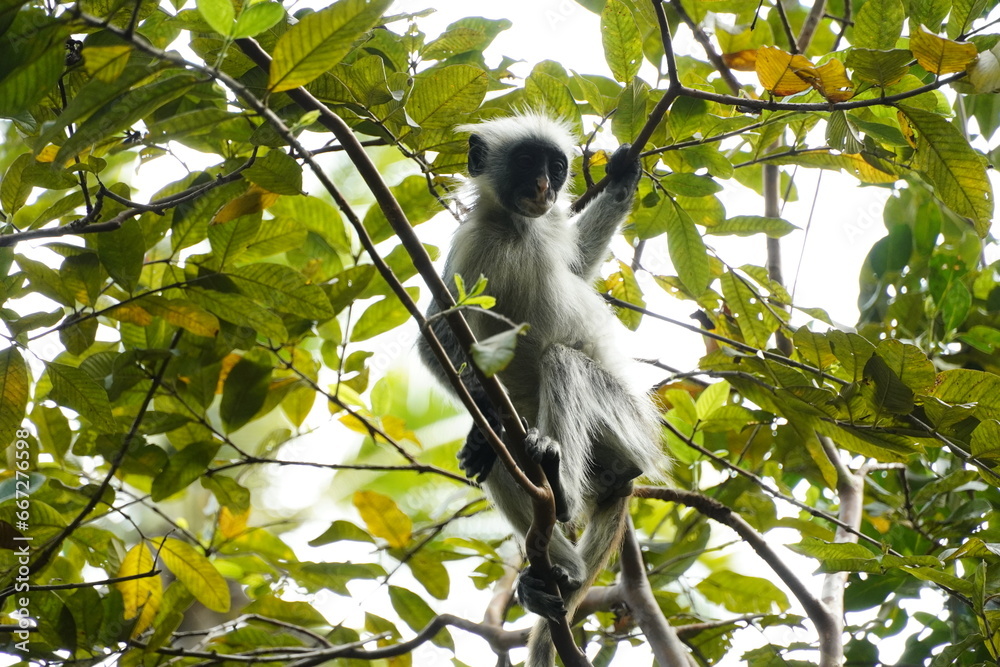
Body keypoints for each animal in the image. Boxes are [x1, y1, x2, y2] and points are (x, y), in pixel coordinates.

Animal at [417, 113, 666, 666]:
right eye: (528, 162)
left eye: (555, 167)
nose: (544, 188)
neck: (515, 229)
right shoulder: (470, 244)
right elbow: (434, 336)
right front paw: (479, 404)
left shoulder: (545, 226)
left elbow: (577, 267)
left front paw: (622, 179)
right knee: (503, 453)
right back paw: (560, 561)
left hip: (630, 427)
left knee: (563, 362)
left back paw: (559, 491)